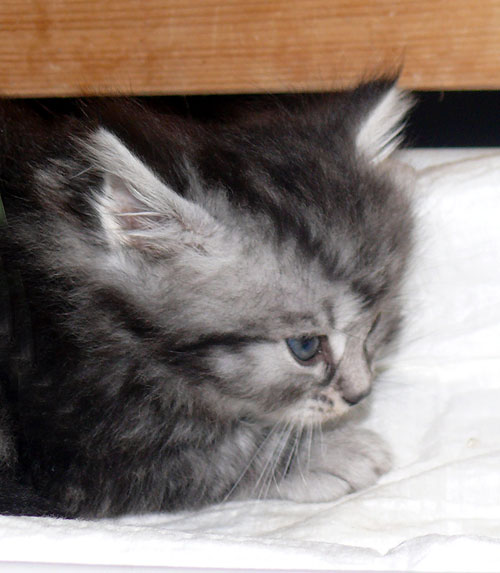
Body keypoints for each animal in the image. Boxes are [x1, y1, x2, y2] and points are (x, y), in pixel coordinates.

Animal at [0, 78, 413, 518]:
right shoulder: (76, 451)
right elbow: (220, 457)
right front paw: (330, 453)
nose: (360, 394)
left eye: (375, 323)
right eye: (304, 347)